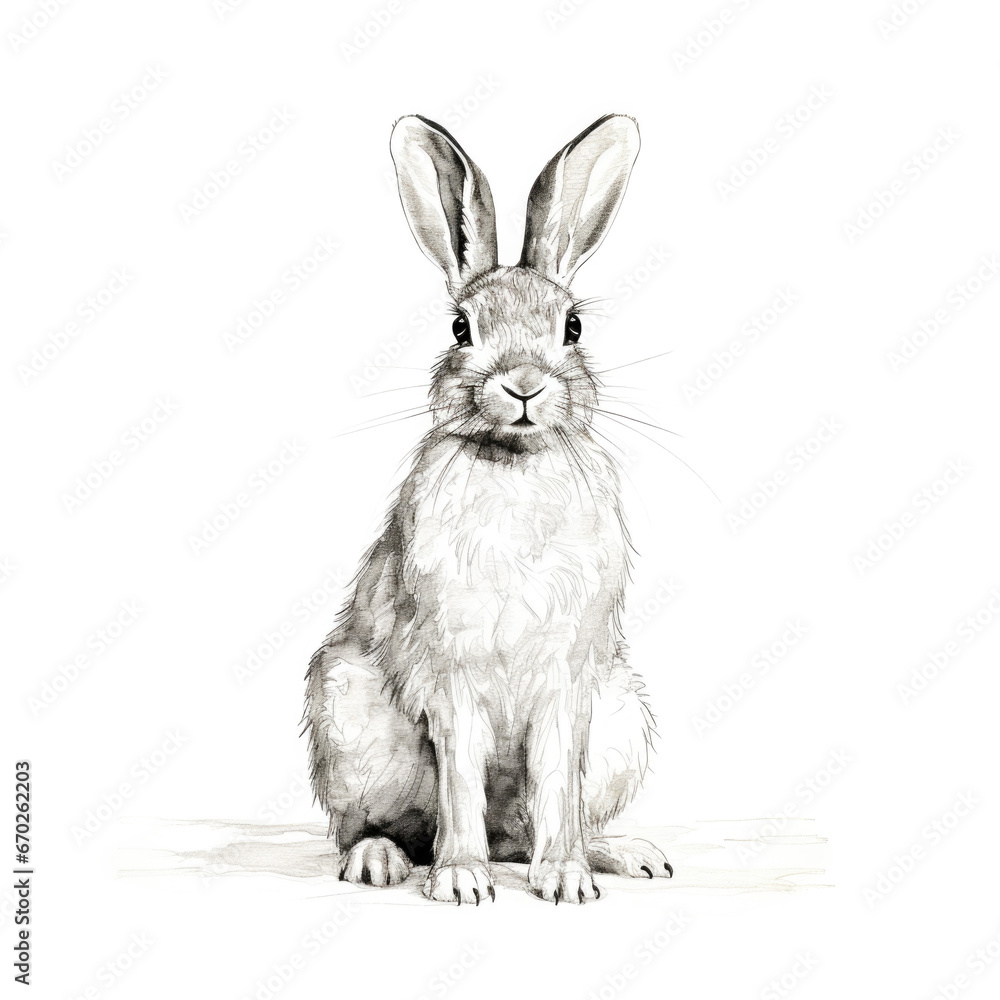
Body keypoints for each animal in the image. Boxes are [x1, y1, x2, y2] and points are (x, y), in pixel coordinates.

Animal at [303, 113, 672, 904]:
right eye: (459, 329)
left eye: (572, 327)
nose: (524, 384)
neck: (516, 461)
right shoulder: (451, 674)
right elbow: (462, 776)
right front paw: (462, 881)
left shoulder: (570, 679)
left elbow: (557, 777)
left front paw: (565, 880)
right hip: (345, 719)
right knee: (373, 827)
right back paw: (382, 860)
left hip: (623, 715)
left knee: (539, 824)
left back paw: (622, 854)